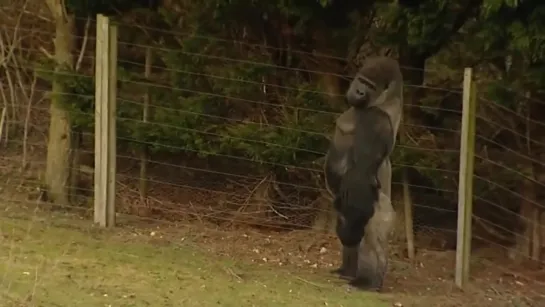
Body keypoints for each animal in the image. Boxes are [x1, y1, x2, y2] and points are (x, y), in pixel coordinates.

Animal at [324, 57, 404, 292]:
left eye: (370, 86)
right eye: (361, 80)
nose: (359, 92)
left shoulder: (376, 121)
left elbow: (360, 175)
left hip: (381, 210)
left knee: (367, 237)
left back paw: (367, 282)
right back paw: (347, 271)